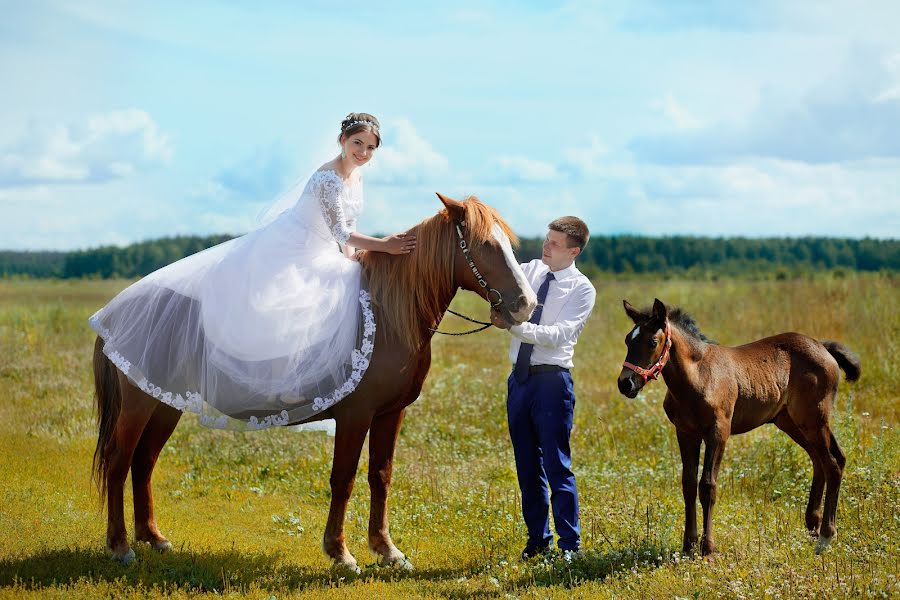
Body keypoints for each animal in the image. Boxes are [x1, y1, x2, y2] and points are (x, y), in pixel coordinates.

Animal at [92, 196, 536, 572]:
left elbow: (381, 476)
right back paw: (121, 547)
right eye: (485, 244)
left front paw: (387, 550)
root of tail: (115, 311)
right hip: (138, 406)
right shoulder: (355, 416)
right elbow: (344, 479)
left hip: (164, 403)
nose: (525, 304)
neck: (389, 313)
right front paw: (340, 553)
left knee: (143, 463)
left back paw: (154, 538)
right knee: (118, 462)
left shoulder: (390, 414)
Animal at [620, 300, 856, 556]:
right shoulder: (686, 433)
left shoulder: (718, 433)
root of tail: (823, 347)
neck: (698, 376)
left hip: (814, 418)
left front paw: (707, 548)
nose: (625, 383)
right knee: (821, 459)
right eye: (627, 340)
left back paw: (825, 536)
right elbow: (688, 484)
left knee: (833, 463)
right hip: (791, 421)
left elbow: (707, 486)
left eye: (653, 342)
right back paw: (813, 526)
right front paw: (688, 546)